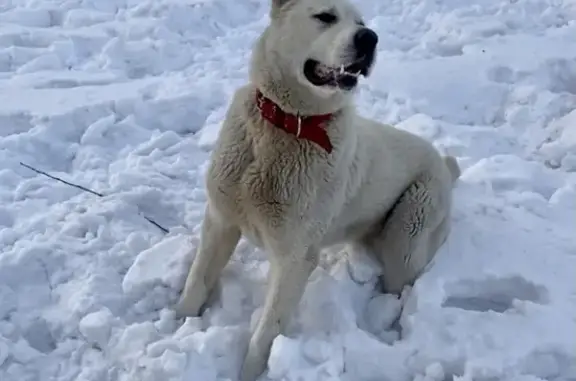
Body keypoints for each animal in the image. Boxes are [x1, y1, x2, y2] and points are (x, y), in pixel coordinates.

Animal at [174, 0, 460, 378]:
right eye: (325, 16)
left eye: (362, 22)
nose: (370, 38)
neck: (290, 123)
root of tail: (445, 165)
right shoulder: (220, 220)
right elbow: (196, 281)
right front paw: (177, 327)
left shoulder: (295, 258)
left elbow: (266, 331)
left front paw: (250, 373)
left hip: (408, 229)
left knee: (403, 287)